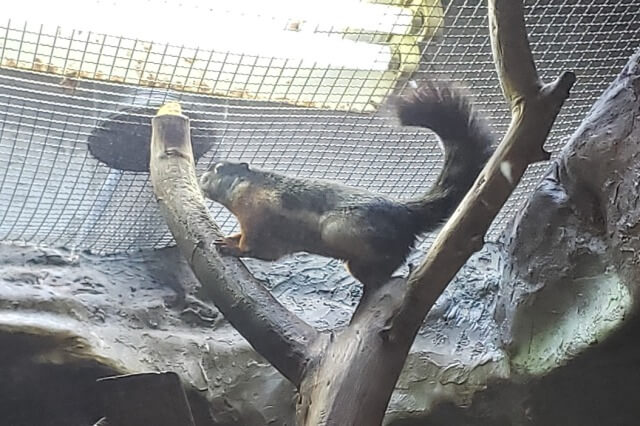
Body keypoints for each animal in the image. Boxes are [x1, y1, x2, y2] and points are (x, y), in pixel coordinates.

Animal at [200, 82, 496, 290]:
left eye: (219, 168)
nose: (201, 179)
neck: (248, 188)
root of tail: (406, 214)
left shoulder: (261, 219)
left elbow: (252, 246)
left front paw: (231, 247)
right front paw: (229, 238)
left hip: (338, 231)